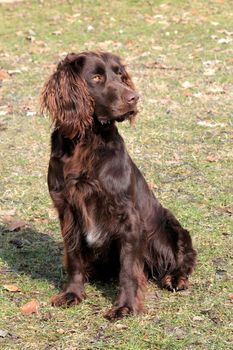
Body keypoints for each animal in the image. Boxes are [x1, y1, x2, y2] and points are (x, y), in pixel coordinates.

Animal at [40, 51, 197, 320]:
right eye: (96, 77)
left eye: (120, 75)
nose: (134, 97)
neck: (86, 141)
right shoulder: (67, 211)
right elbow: (74, 257)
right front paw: (72, 293)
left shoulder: (128, 217)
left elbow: (128, 269)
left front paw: (125, 306)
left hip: (166, 229)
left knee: (183, 257)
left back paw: (175, 278)